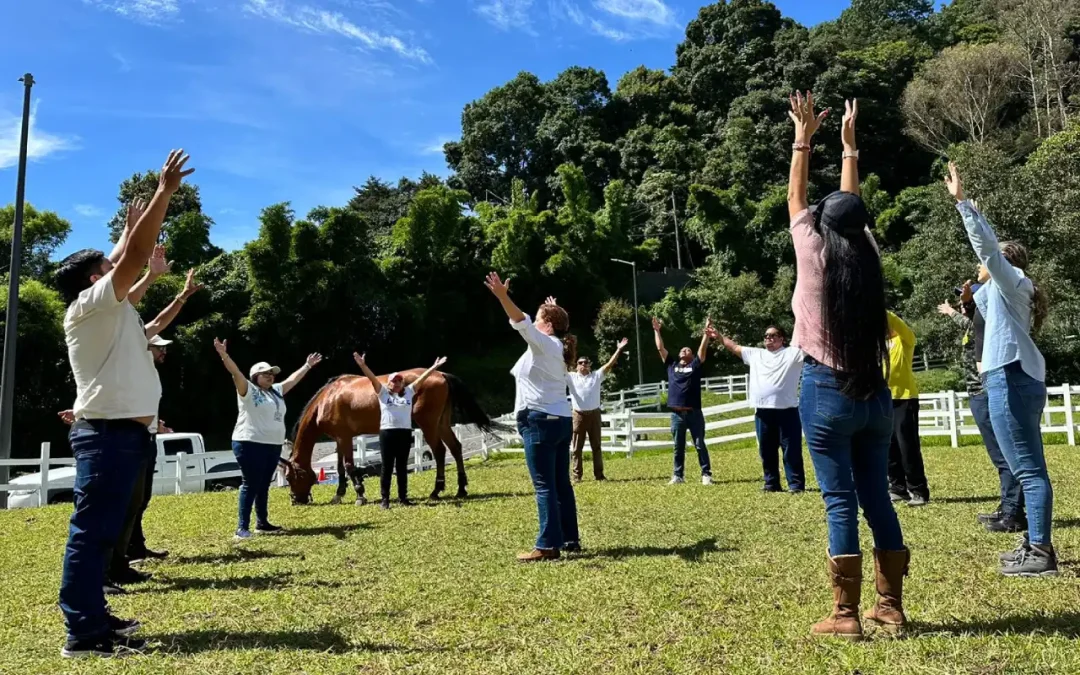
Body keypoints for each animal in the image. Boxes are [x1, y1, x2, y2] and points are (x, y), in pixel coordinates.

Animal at [278, 369, 496, 505]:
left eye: (289, 477)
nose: (295, 500)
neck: (328, 398)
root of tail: (439, 373)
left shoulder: (344, 438)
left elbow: (349, 466)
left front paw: (360, 495)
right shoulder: (340, 439)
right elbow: (340, 468)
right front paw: (339, 495)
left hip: (429, 425)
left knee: (440, 451)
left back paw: (436, 491)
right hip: (442, 423)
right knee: (456, 448)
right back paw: (461, 488)